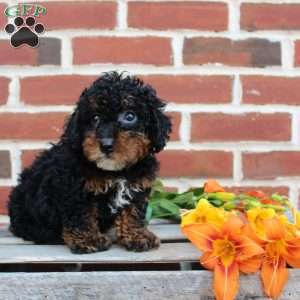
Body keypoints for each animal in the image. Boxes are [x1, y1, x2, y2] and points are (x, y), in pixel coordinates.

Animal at [7, 72, 171, 253]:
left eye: (130, 116)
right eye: (95, 118)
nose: (106, 144)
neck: (116, 172)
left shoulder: (137, 186)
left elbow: (133, 211)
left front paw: (138, 236)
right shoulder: (75, 188)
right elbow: (82, 214)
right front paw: (88, 239)